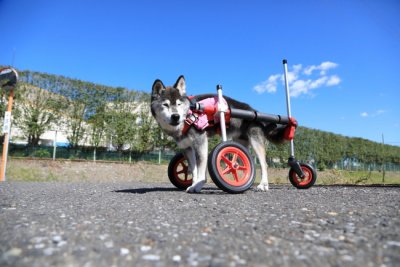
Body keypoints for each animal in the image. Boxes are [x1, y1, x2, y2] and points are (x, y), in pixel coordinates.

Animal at [151, 75, 288, 193]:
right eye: (165, 104)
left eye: (179, 104)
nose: (176, 116)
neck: (187, 117)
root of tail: (253, 110)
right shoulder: (187, 148)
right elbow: (193, 169)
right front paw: (193, 184)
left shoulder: (201, 141)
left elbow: (201, 168)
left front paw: (198, 185)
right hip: (240, 143)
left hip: (255, 140)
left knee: (264, 164)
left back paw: (263, 185)